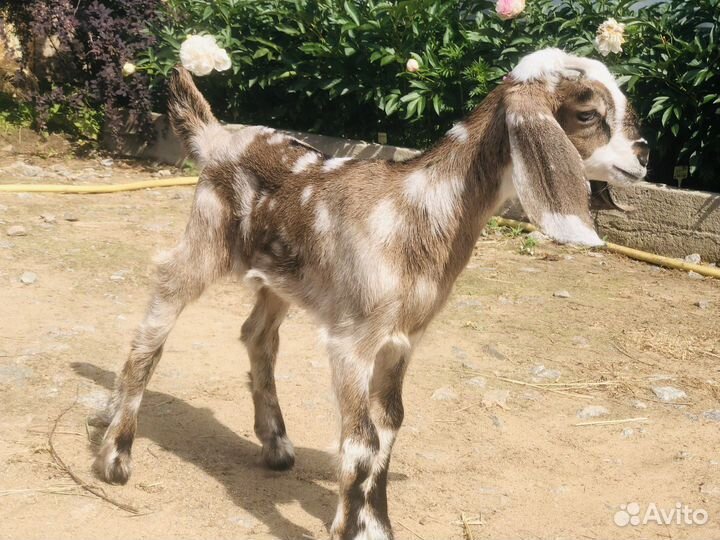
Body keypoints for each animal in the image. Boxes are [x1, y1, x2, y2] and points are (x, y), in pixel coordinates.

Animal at [93, 48, 648, 539]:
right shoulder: (352, 338)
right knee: (159, 311)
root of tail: (216, 138)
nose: (643, 157)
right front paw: (351, 528)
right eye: (587, 112)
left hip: (282, 278)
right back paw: (116, 454)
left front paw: (374, 524)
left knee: (257, 335)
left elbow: (389, 429)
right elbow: (360, 442)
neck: (415, 209)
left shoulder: (401, 340)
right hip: (206, 238)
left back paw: (273, 443)